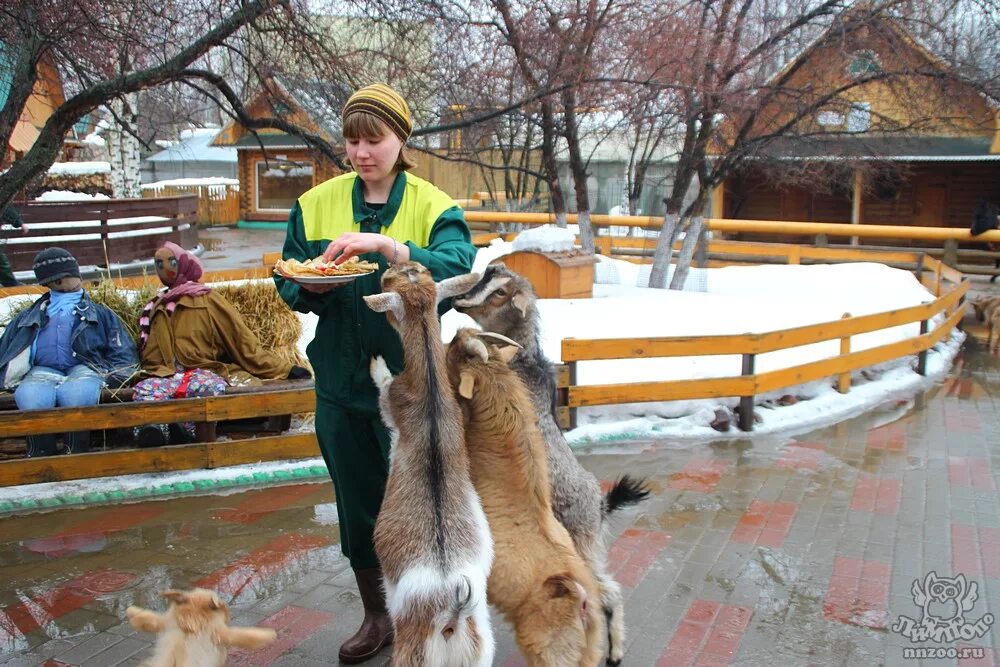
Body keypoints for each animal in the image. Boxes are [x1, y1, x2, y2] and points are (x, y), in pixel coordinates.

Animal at [128, 588, 282, 667]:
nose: (228, 614)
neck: (191, 622)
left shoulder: (167, 622)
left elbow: (151, 619)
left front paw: (131, 612)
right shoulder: (221, 633)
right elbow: (243, 635)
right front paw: (269, 635)